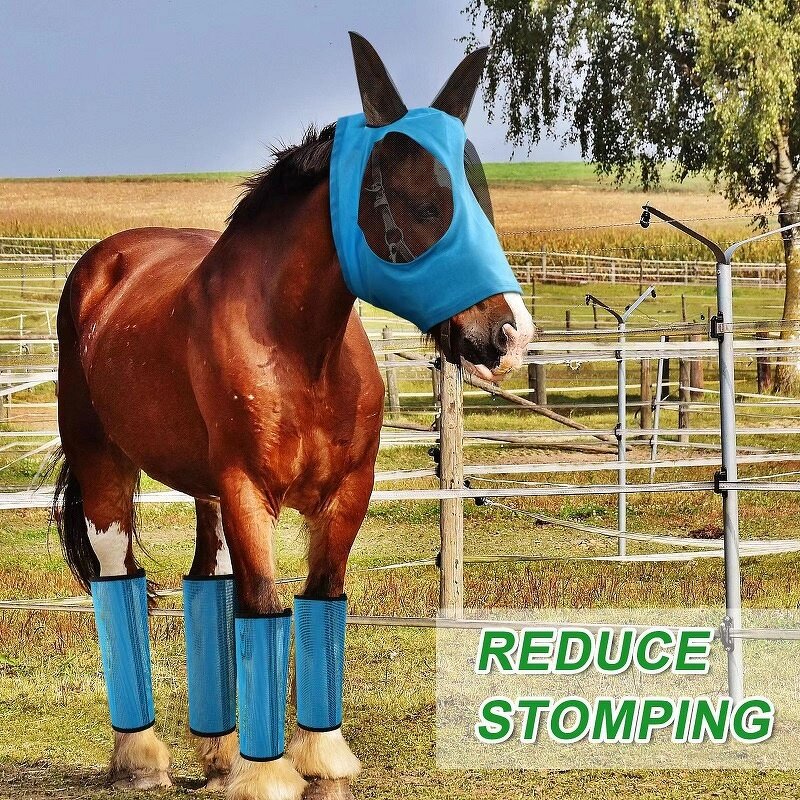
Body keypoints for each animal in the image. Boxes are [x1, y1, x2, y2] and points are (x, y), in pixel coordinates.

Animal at [52, 32, 535, 800]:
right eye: (421, 199)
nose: (508, 337)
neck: (298, 348)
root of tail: (103, 266)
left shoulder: (345, 493)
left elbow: (318, 598)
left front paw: (321, 754)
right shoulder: (250, 491)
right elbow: (264, 606)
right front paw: (269, 771)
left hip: (206, 492)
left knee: (207, 581)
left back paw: (219, 754)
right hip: (107, 469)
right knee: (117, 580)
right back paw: (142, 756)